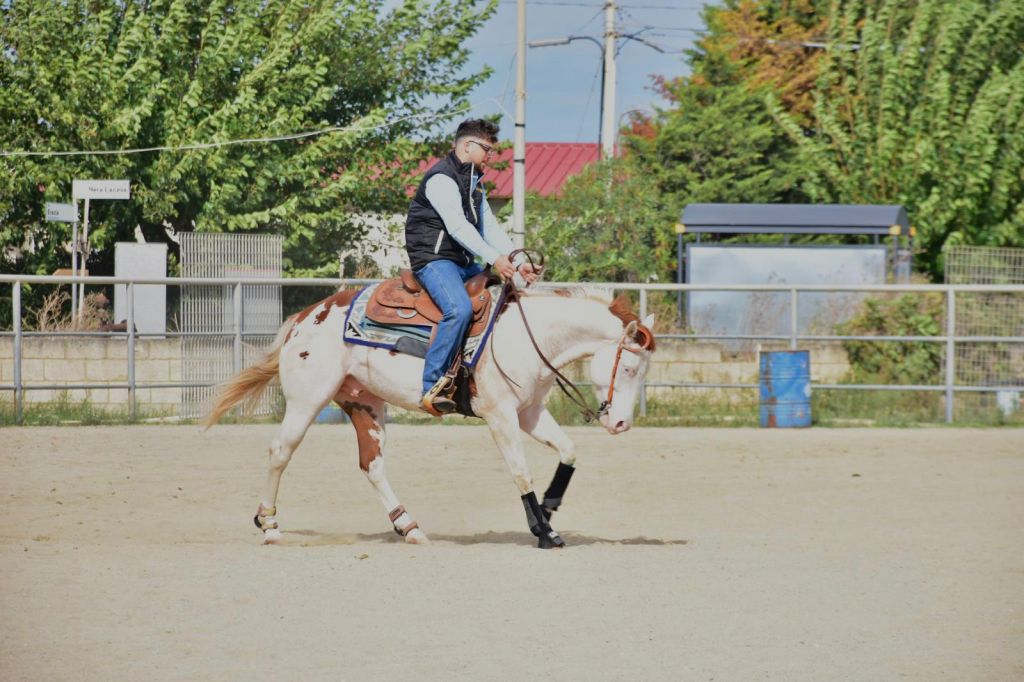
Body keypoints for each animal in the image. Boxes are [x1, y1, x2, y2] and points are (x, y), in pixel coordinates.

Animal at [205, 283, 656, 548]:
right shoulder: (501, 417)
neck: (529, 338)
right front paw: (544, 531)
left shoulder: (529, 412)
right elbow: (521, 473)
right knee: (281, 452)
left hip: (366, 404)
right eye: (630, 368)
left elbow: (569, 451)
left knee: (372, 464)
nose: (621, 424)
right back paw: (269, 525)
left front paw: (548, 507)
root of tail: (304, 317)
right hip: (307, 400)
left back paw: (409, 526)